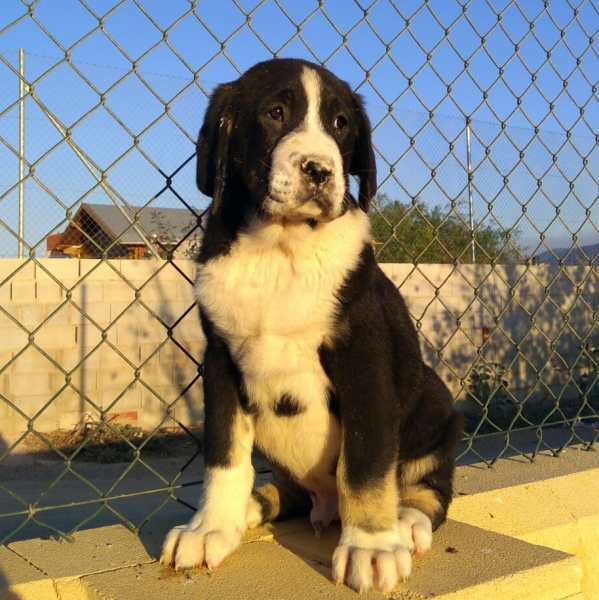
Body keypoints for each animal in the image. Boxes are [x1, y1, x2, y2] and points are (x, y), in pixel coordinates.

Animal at [161, 58, 464, 592]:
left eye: (341, 124)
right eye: (275, 113)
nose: (320, 170)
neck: (281, 252)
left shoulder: (364, 360)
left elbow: (365, 463)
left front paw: (371, 546)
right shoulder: (219, 360)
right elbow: (223, 454)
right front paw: (210, 527)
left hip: (433, 402)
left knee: (428, 487)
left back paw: (405, 521)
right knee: (292, 493)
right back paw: (254, 505)